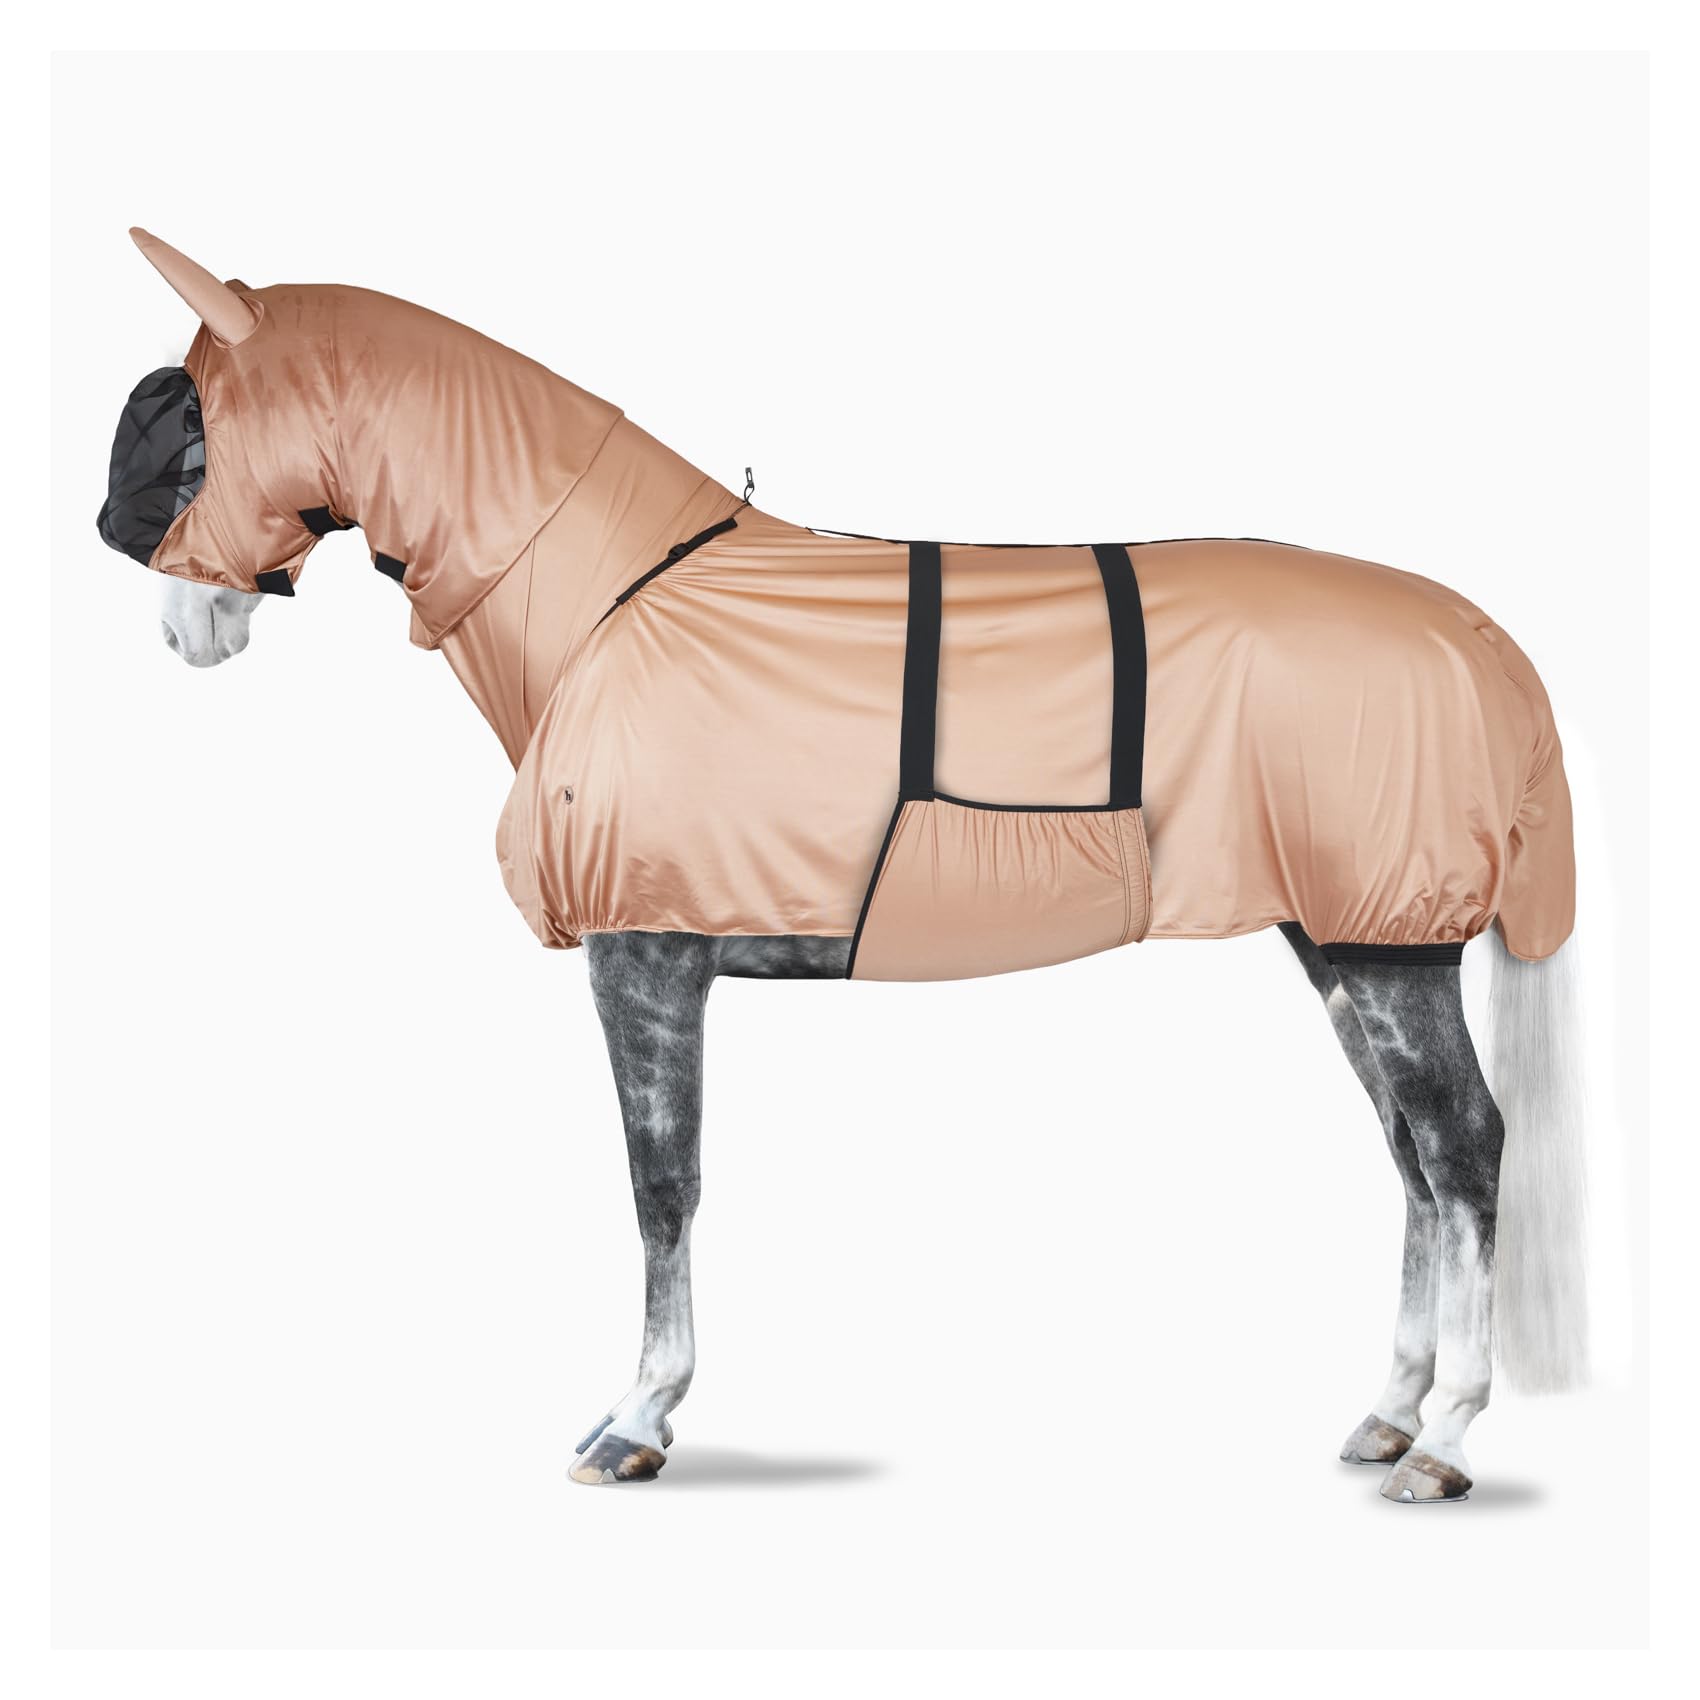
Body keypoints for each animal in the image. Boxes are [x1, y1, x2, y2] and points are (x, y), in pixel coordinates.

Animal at [99, 229, 1589, 1501]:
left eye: (187, 421)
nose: (180, 622)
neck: (610, 599)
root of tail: (1475, 634)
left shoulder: (646, 954)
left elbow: (662, 1184)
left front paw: (637, 1419)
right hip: (1335, 940)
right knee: (1410, 1156)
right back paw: (1387, 1412)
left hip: (1386, 943)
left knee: (1463, 1146)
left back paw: (1443, 1439)